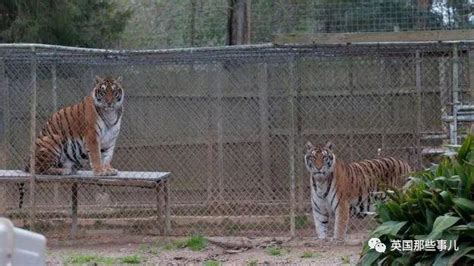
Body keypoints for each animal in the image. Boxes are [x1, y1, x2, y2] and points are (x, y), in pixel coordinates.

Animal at [20, 76, 124, 207]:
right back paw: (64, 171)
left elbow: (107, 156)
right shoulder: (92, 136)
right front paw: (99, 171)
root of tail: (27, 163)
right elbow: (96, 155)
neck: (110, 113)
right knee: (40, 169)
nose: (109, 102)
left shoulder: (110, 140)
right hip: (53, 139)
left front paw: (109, 169)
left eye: (114, 91)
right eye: (104, 91)